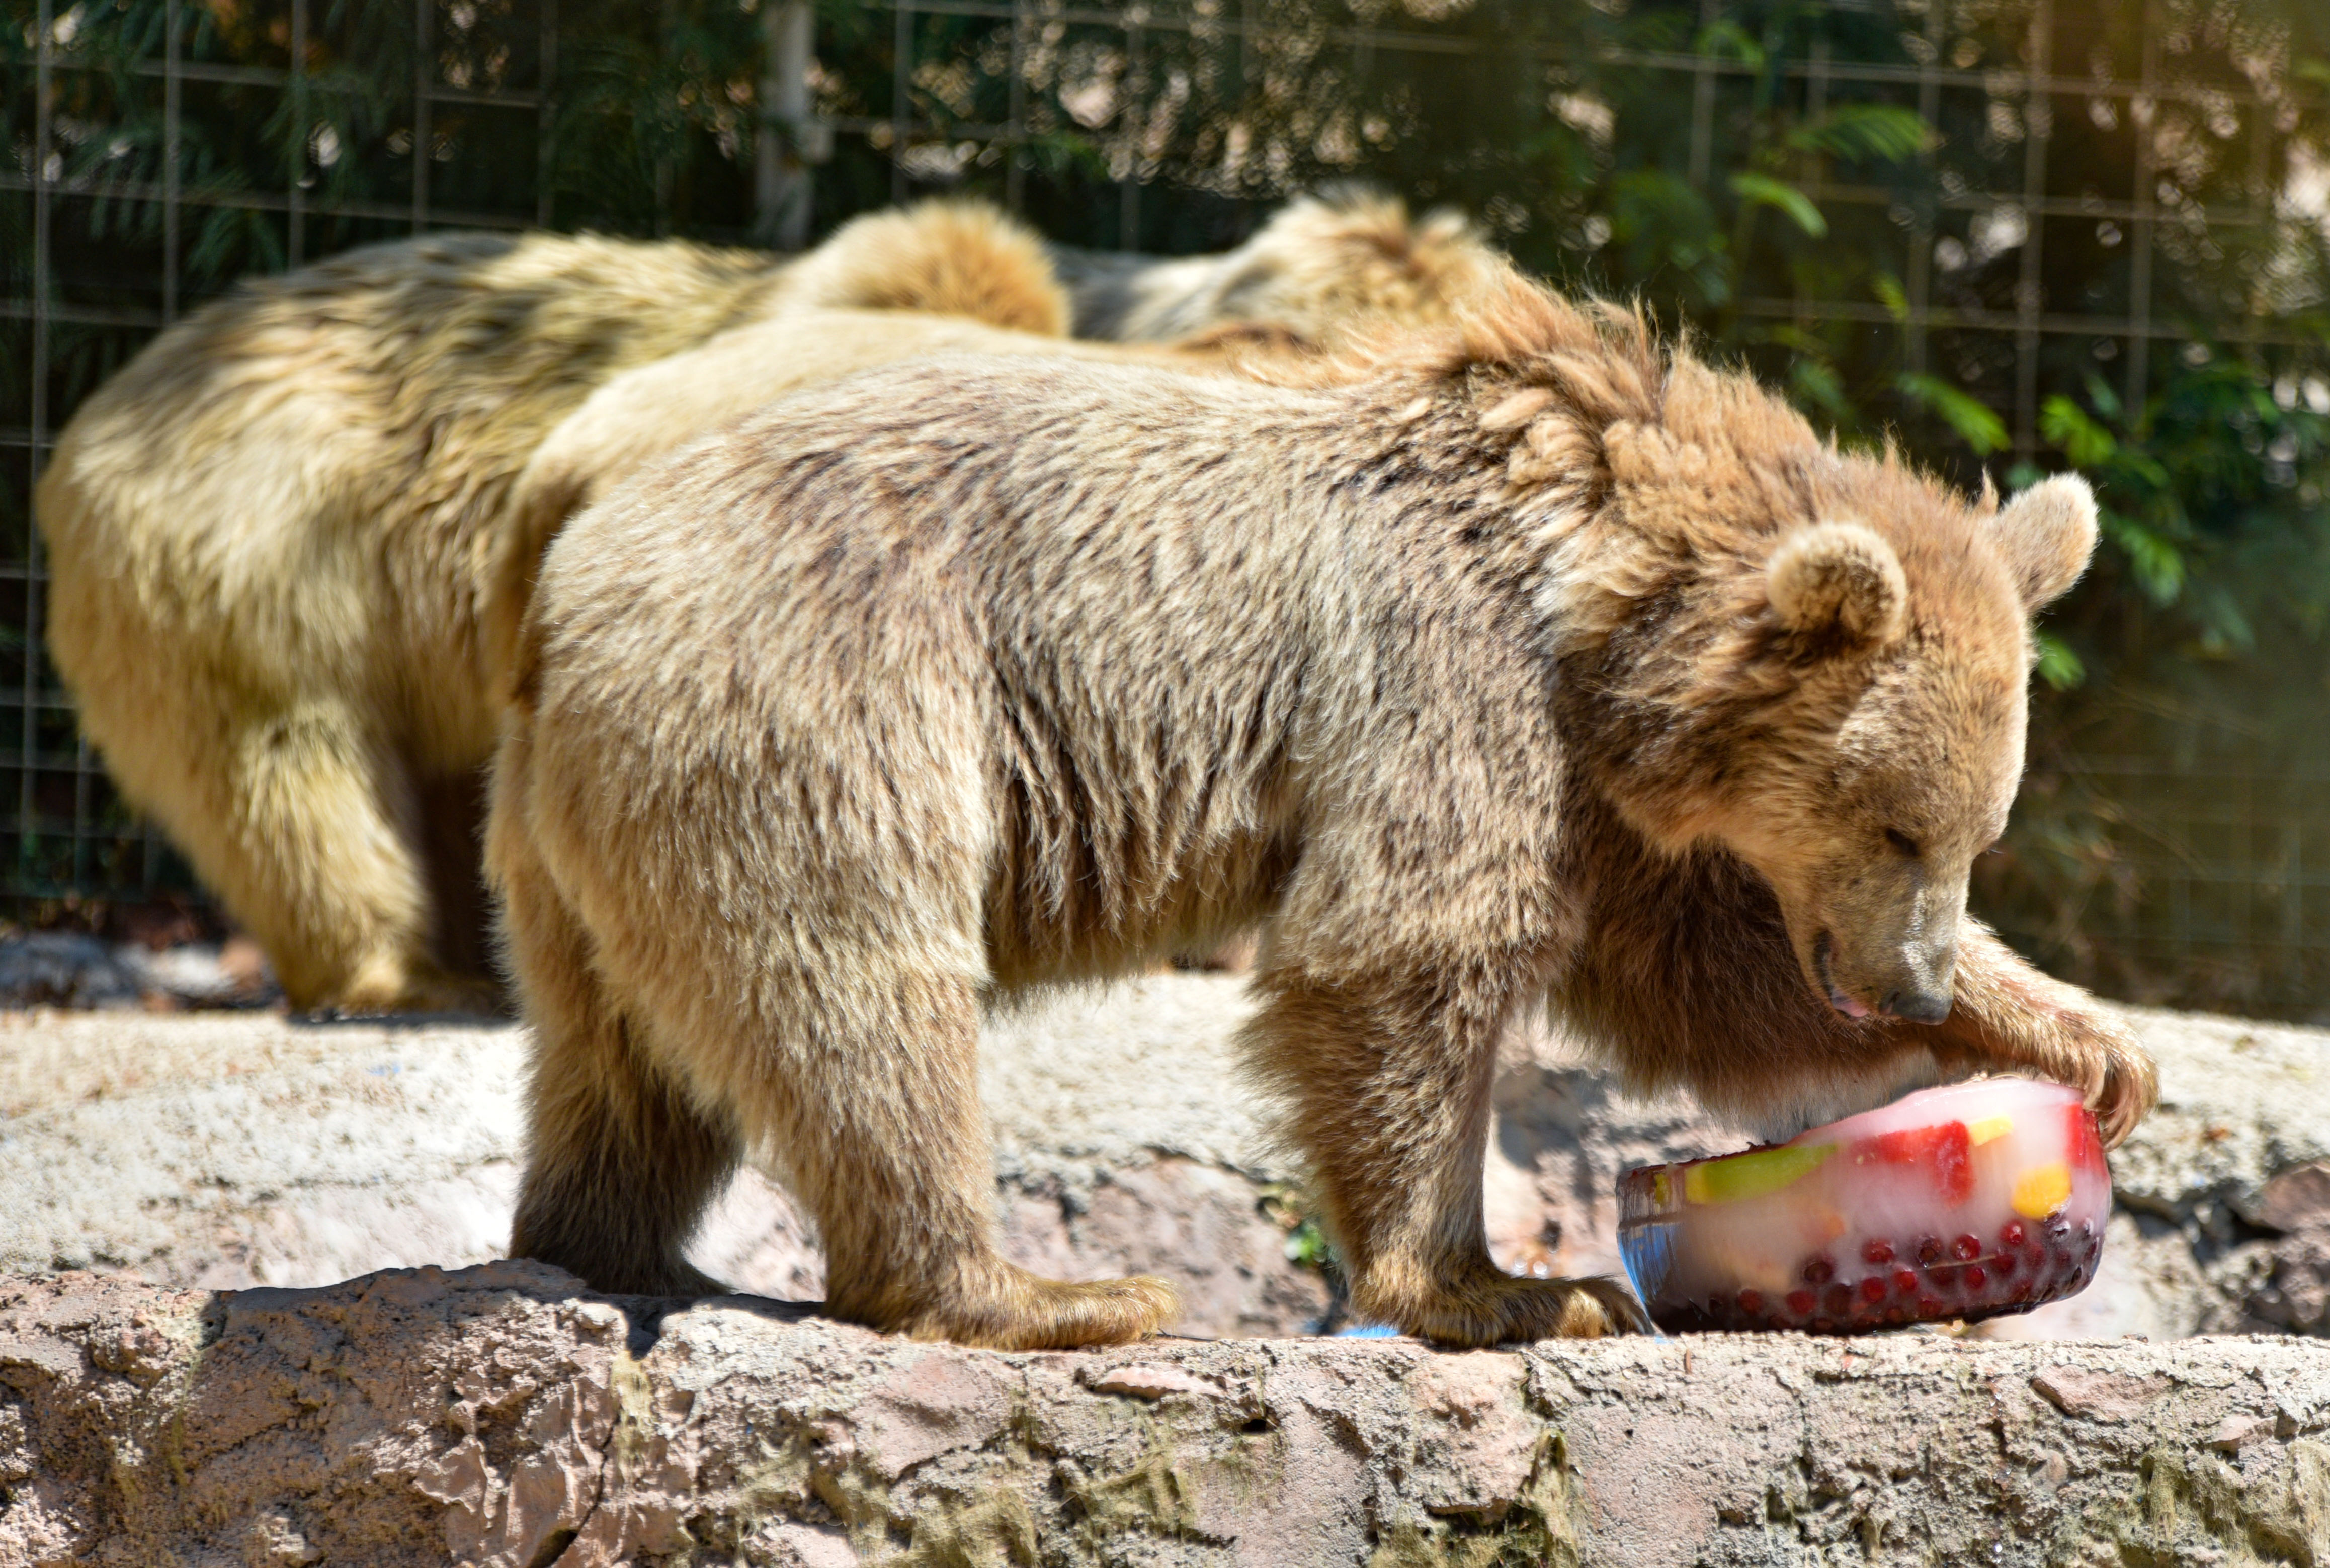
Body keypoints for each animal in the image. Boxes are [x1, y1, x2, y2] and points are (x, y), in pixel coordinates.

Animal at [496, 273, 2162, 1342]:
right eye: (1890, 823)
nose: (1909, 979)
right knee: (859, 996)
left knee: (627, 1050)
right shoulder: (1453, 684)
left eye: (1972, 835)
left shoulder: (1597, 803)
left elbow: (1696, 967)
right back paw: (1032, 1290)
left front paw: (2083, 1042)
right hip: (828, 705)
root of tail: (570, 555)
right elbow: (1404, 951)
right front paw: (1510, 1286)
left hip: (598, 820)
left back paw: (608, 1248)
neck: (1594, 596)